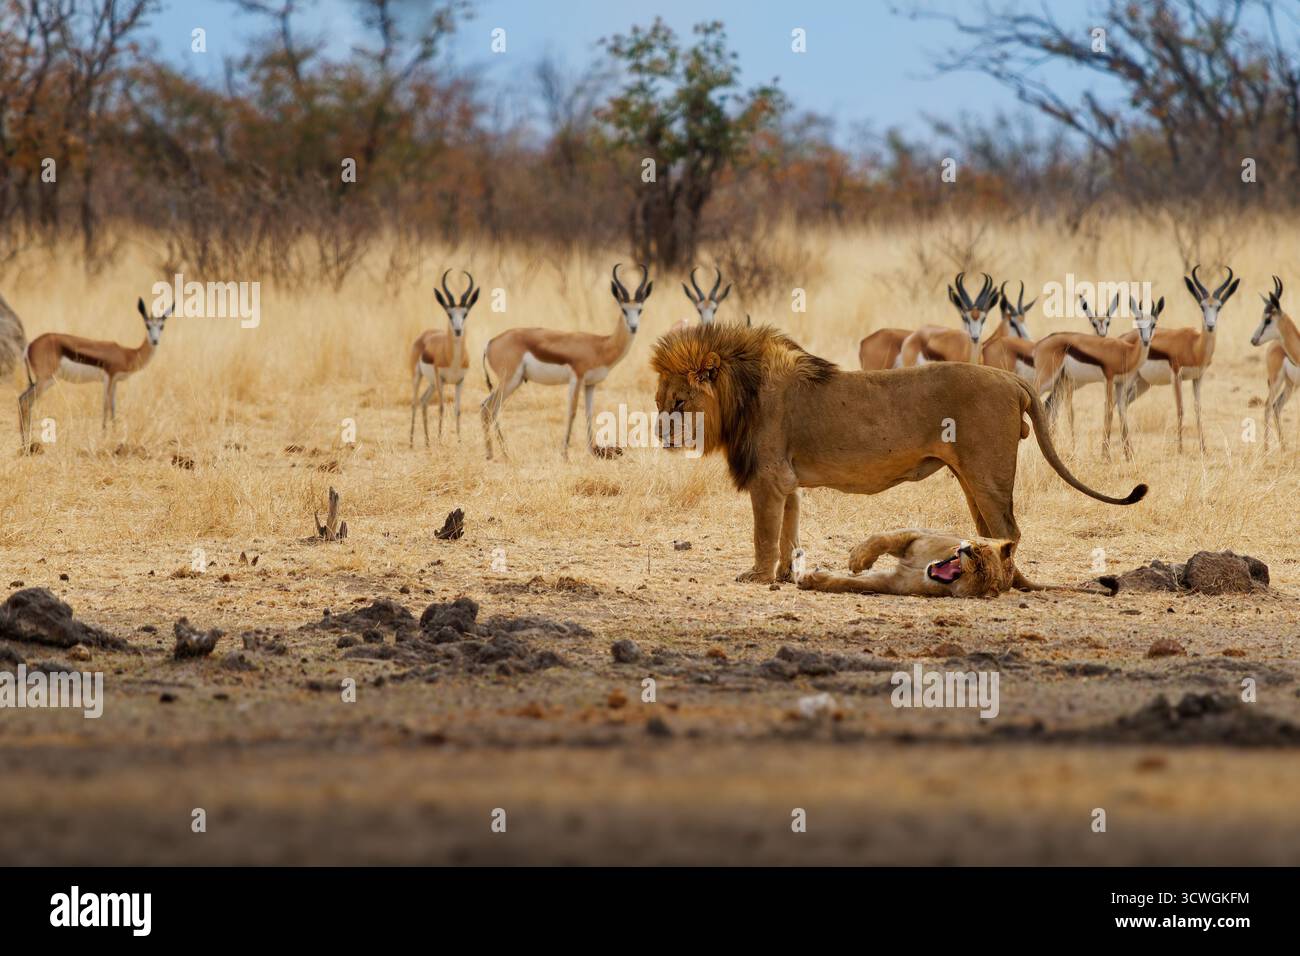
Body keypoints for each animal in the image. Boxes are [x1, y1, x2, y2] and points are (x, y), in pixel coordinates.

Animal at [650, 324, 1147, 585]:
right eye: (660, 401)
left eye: (679, 402)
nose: (660, 436)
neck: (743, 395)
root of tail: (1011, 378)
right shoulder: (787, 484)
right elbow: (788, 533)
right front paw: (788, 574)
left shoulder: (768, 479)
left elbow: (763, 534)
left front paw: (756, 577)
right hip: (972, 480)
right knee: (993, 531)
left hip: (986, 475)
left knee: (1009, 531)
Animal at [794, 530, 1020, 597]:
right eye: (979, 549)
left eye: (981, 571)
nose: (969, 551)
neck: (924, 568)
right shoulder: (918, 535)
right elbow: (883, 539)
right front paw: (858, 558)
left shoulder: (891, 583)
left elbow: (849, 583)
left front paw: (810, 579)